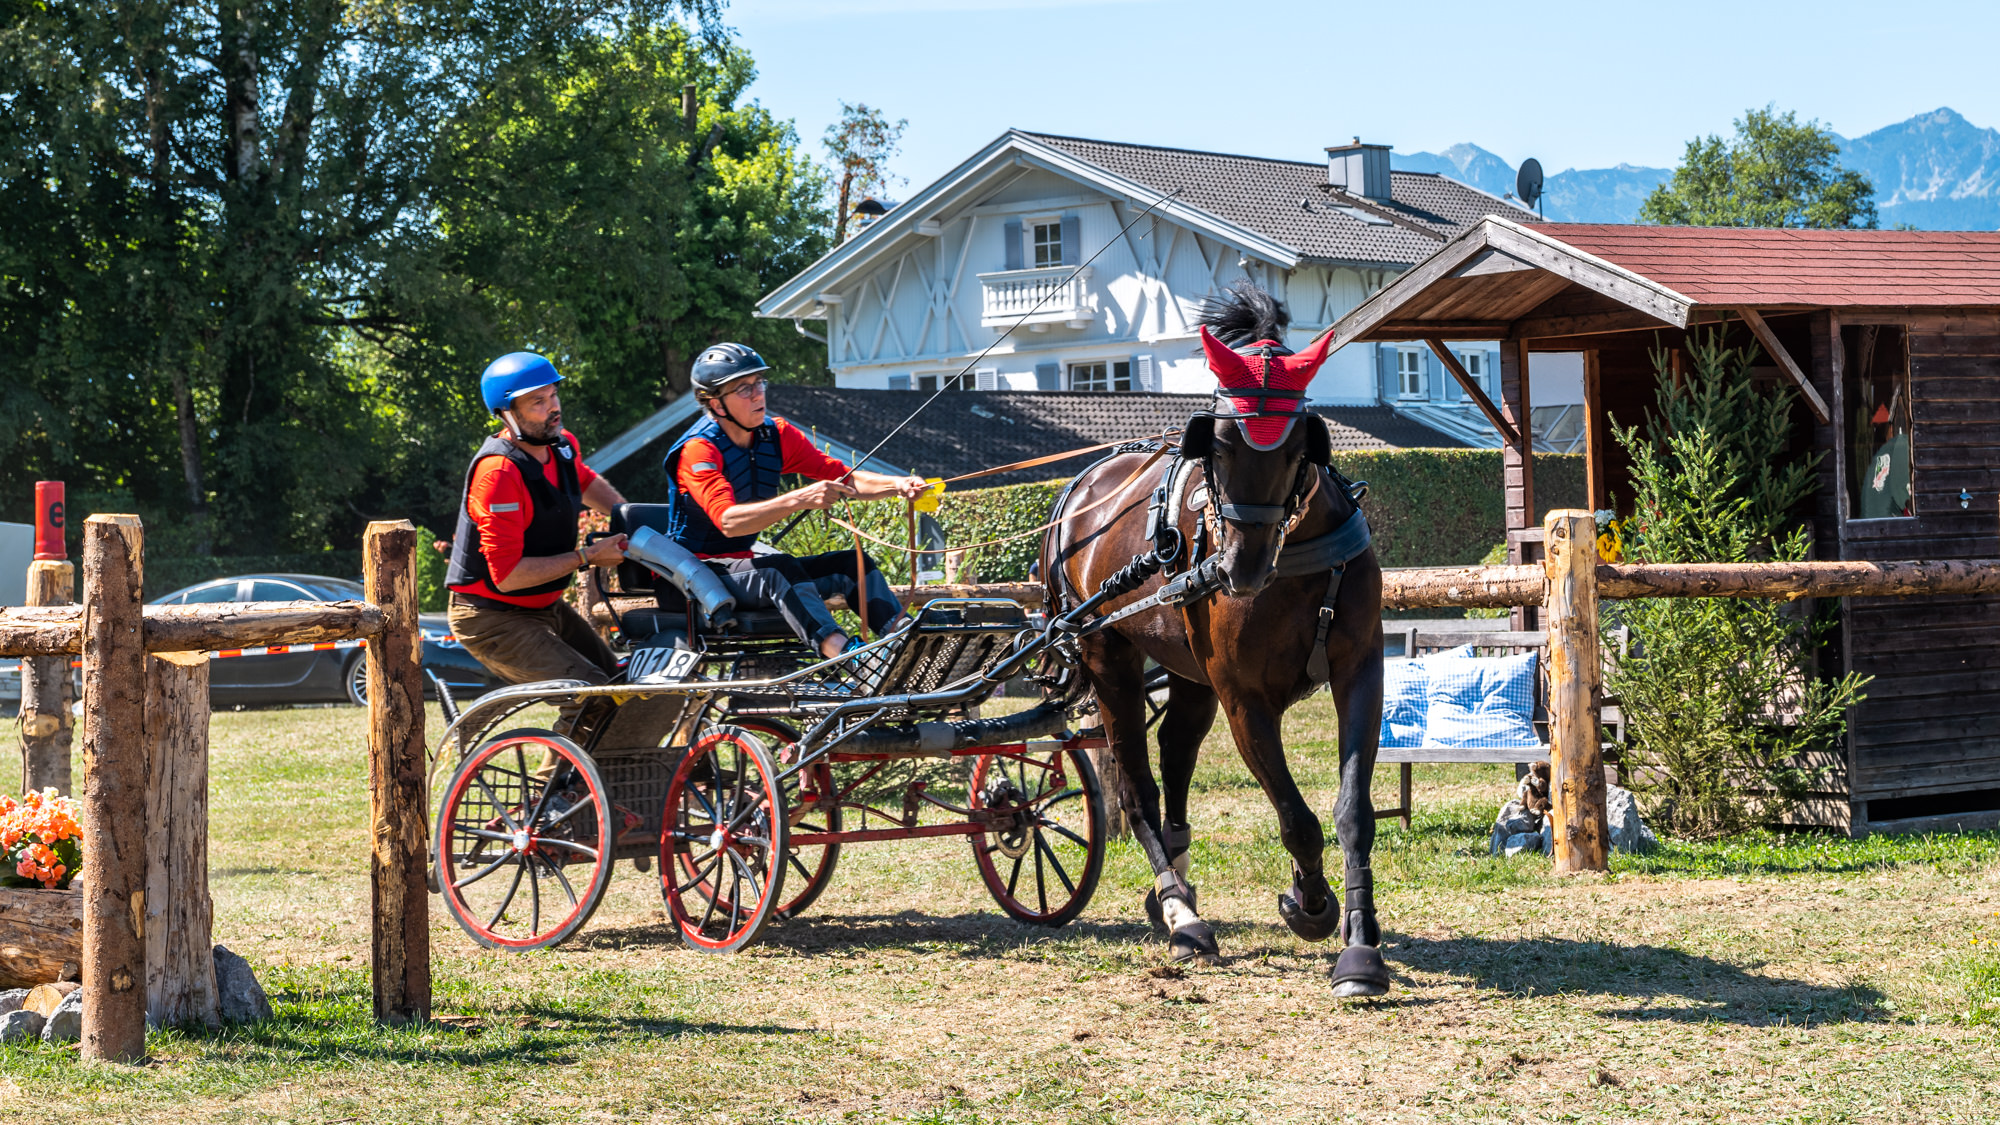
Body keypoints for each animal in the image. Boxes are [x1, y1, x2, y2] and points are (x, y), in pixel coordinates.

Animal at [1038, 282, 1390, 996]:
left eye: (1297, 446)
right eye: (1220, 442)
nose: (1239, 568)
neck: (1293, 561)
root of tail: (1079, 491)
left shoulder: (1360, 673)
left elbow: (1350, 812)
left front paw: (1360, 946)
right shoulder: (1245, 699)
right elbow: (1297, 820)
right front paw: (1310, 905)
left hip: (1187, 672)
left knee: (1174, 753)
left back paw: (1175, 885)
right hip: (1108, 659)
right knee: (1138, 789)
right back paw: (1180, 913)